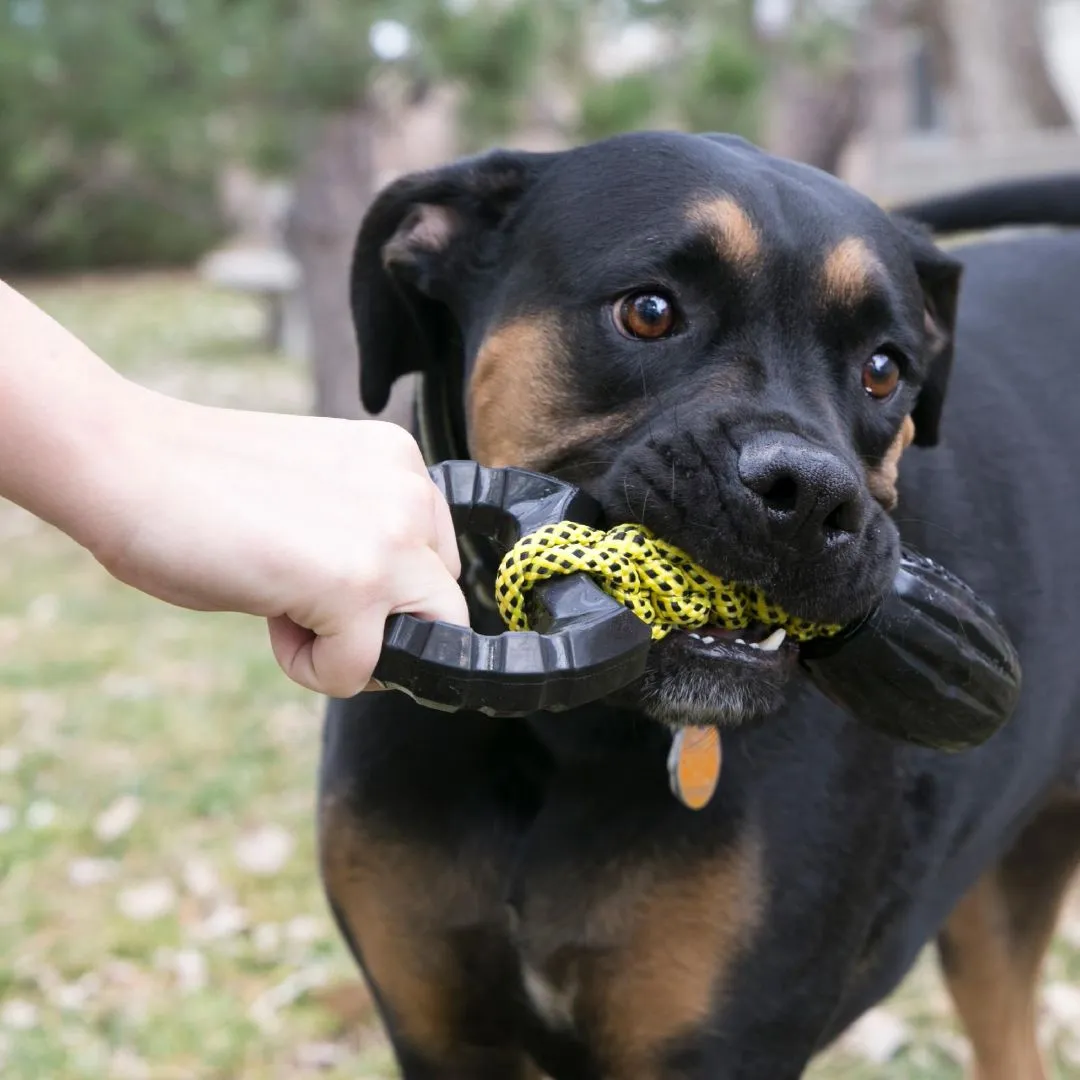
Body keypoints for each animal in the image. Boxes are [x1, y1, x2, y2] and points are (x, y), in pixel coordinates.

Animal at [315, 137, 1080, 1080]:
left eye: (884, 369)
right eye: (648, 312)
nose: (811, 497)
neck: (561, 733)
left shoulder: (721, 1047)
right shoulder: (440, 1035)